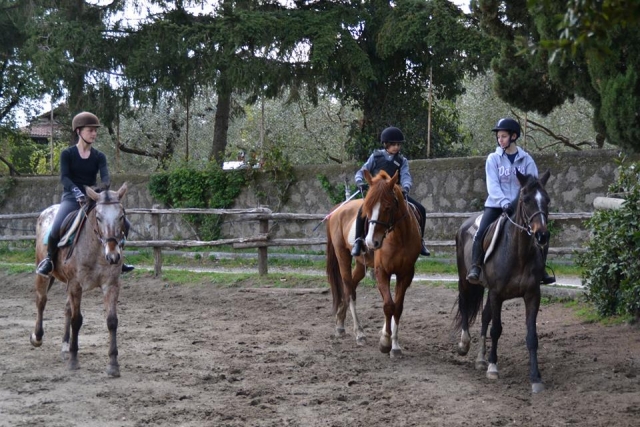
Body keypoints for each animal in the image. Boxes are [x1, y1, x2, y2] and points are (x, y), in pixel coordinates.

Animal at [30, 183, 129, 377]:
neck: (97, 249)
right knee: (41, 301)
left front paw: (113, 364)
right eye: (98, 217)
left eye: (121, 216)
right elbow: (77, 320)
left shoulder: (111, 285)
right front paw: (74, 360)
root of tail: (46, 211)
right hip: (44, 274)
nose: (113, 256)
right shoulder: (76, 284)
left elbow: (112, 321)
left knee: (67, 308)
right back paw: (37, 337)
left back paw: (65, 347)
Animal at [325, 169, 422, 356]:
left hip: (360, 265)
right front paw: (385, 342)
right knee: (349, 290)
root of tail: (339, 209)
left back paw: (340, 324)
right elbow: (388, 305)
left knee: (351, 287)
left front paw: (395, 345)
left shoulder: (406, 274)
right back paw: (359, 333)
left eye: (388, 207)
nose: (371, 242)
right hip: (343, 256)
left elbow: (397, 306)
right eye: (368, 209)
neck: (399, 238)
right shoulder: (381, 272)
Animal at [454, 170, 551, 393]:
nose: (542, 235)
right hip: (466, 281)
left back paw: (480, 359)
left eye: (547, 200)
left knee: (484, 317)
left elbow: (531, 337)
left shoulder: (532, 295)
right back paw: (464, 345)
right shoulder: (497, 294)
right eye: (526, 200)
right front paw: (493, 367)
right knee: (464, 306)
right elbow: (496, 329)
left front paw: (536, 378)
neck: (519, 253)